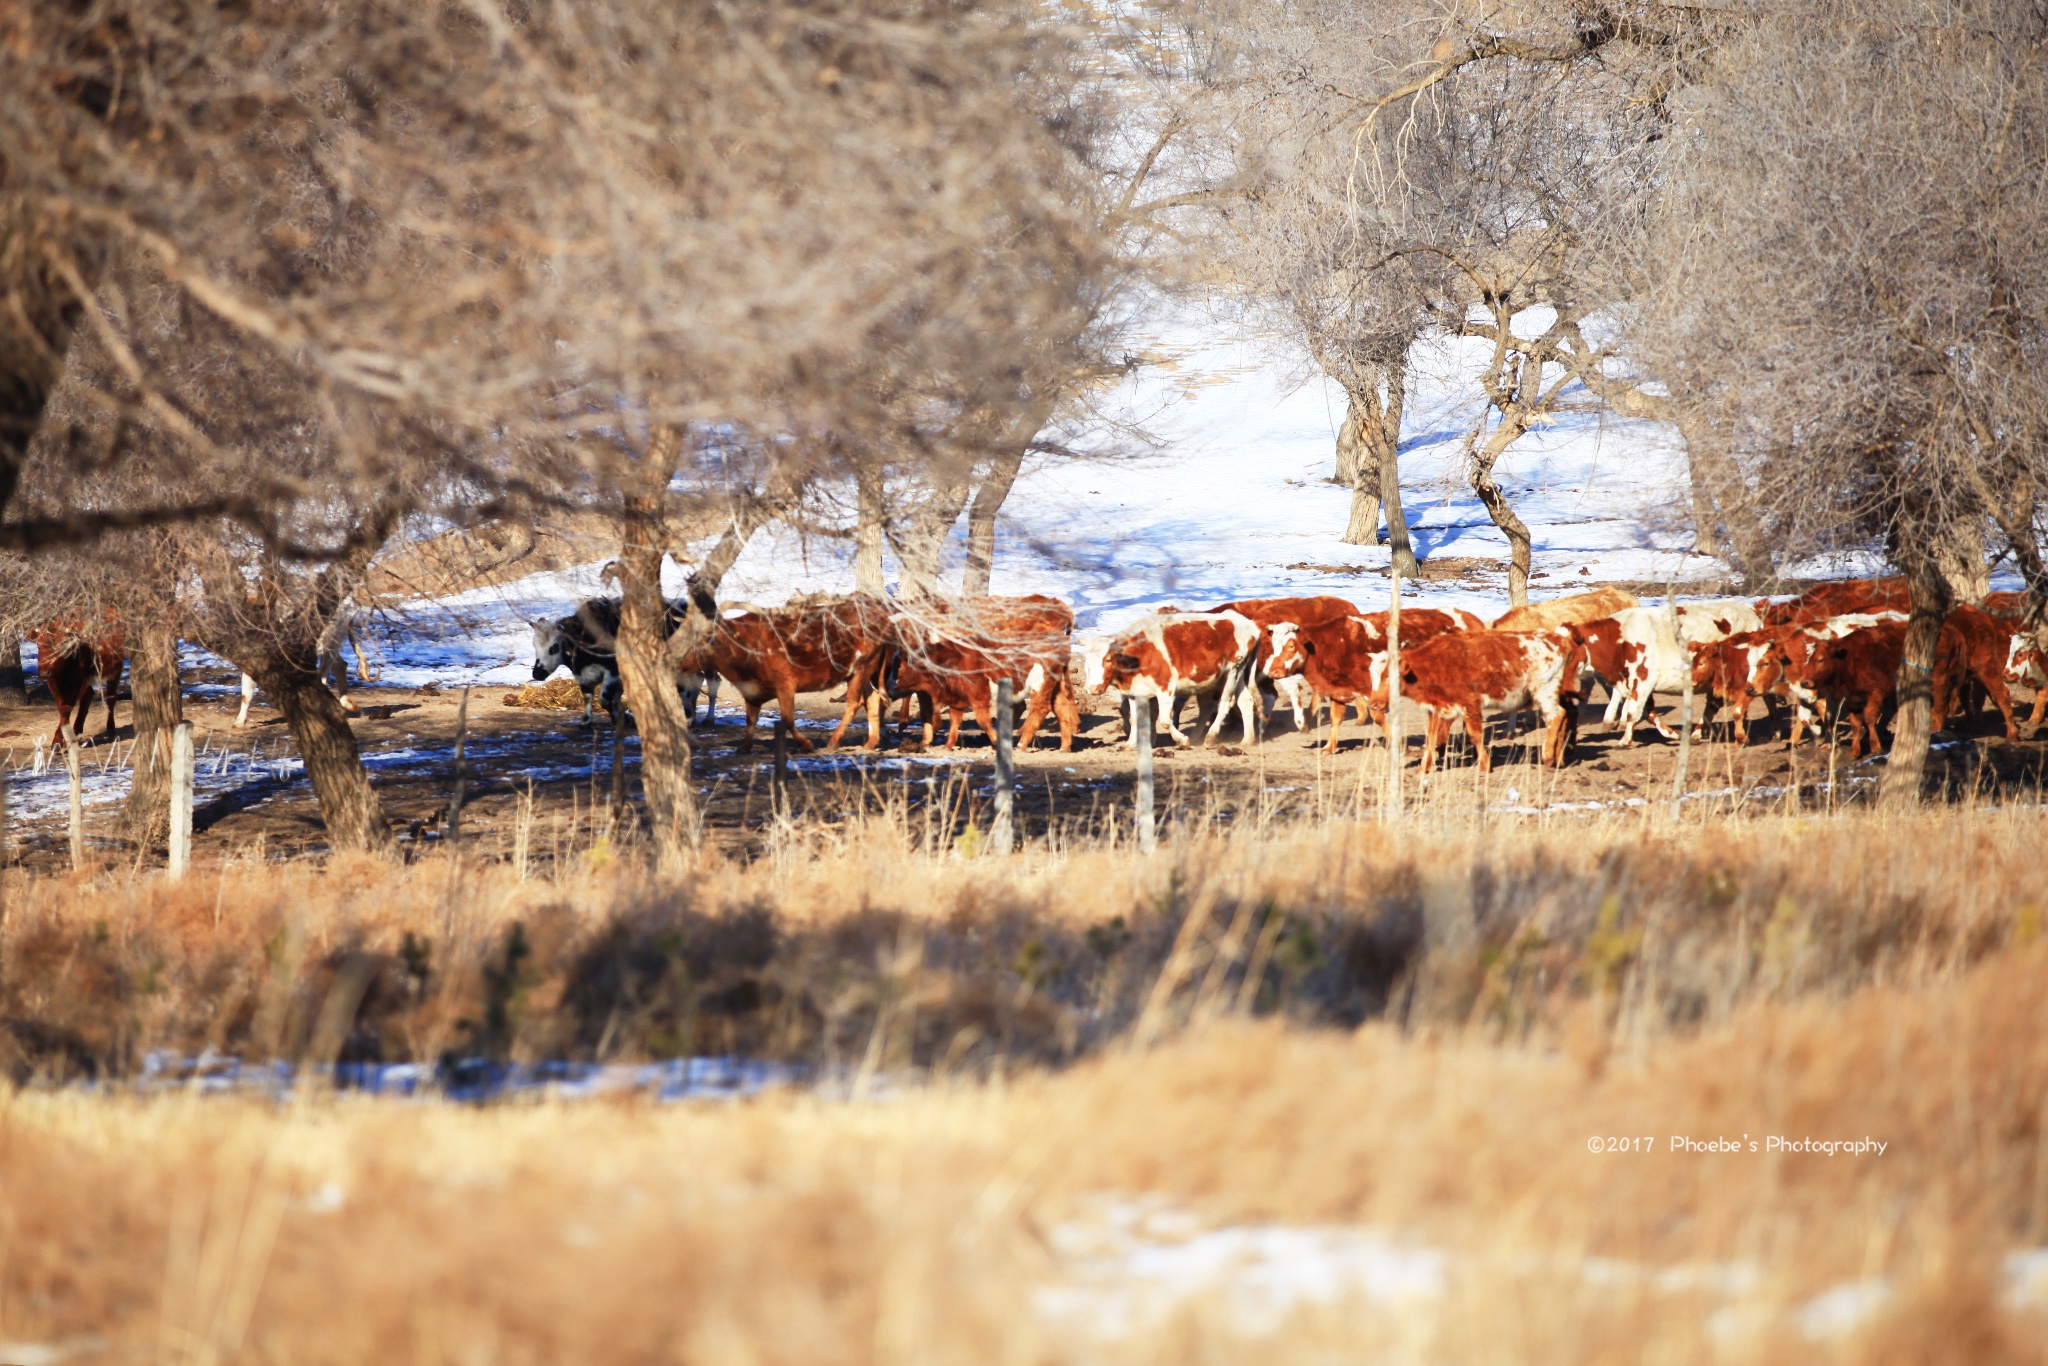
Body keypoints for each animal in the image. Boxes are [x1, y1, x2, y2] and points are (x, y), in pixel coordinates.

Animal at [32, 618, 125, 749]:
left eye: (61, 647)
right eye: (39, 646)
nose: (45, 672)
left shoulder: (76, 684)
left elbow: (66, 709)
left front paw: (57, 742)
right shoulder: (53, 683)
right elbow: (62, 708)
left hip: (115, 670)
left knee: (111, 697)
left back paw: (110, 731)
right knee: (89, 695)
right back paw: (77, 730)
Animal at [1081, 614, 1253, 749]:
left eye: (1108, 659)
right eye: (1087, 661)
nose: (1093, 688)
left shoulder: (1165, 688)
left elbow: (1164, 720)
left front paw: (1182, 740)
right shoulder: (1134, 692)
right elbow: (1134, 719)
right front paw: (1130, 743)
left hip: (1232, 670)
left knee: (1225, 703)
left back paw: (1210, 737)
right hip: (1235, 674)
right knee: (1242, 701)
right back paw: (1247, 740)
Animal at [1376, 626, 1581, 774]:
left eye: (1389, 677)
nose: (1376, 702)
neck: (1434, 664)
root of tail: (1560, 640)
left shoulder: (1469, 704)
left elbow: (1475, 735)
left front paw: (1485, 765)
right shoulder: (1438, 708)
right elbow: (1432, 738)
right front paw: (1423, 768)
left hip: (1544, 692)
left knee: (1556, 716)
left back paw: (1548, 756)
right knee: (1567, 715)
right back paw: (1560, 758)